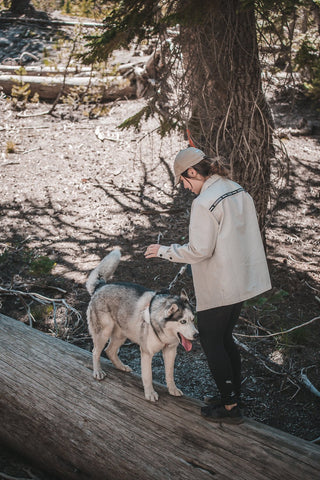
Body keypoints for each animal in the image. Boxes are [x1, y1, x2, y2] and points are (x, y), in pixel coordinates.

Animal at [86, 249, 199, 404]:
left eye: (192, 320)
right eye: (183, 322)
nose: (197, 335)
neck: (161, 328)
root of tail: (100, 286)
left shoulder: (170, 351)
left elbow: (170, 373)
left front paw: (172, 389)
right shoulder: (146, 353)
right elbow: (148, 376)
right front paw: (150, 393)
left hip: (121, 335)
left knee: (109, 351)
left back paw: (121, 367)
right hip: (104, 332)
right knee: (96, 351)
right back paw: (97, 371)